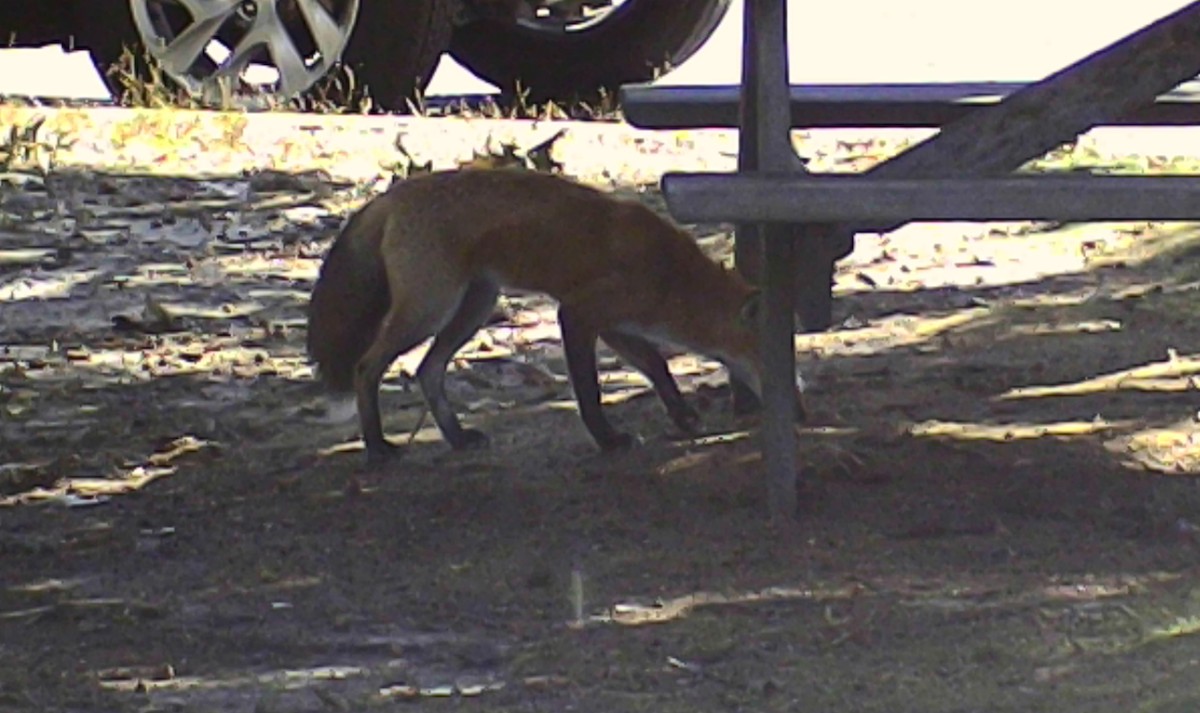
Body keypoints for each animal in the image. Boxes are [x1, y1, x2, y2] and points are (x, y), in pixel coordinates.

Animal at [306, 168, 805, 464]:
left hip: (474, 306)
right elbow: (589, 392)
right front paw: (608, 439)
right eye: (774, 359)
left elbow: (658, 367)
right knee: (366, 366)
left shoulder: (619, 325)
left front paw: (682, 417)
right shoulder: (579, 314)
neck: (671, 275)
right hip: (429, 309)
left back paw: (458, 438)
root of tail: (393, 195)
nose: (800, 414)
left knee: (429, 371)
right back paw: (377, 446)